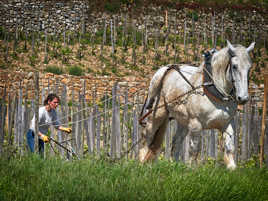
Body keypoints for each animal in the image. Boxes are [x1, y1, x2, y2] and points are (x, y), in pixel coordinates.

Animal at [139, 40, 254, 169]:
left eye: (249, 67)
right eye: (234, 66)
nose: (243, 98)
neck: (214, 90)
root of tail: (166, 69)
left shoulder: (227, 123)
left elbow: (230, 148)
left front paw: (232, 168)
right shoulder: (196, 125)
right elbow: (194, 150)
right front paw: (192, 169)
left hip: (183, 120)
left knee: (176, 141)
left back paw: (175, 165)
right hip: (158, 113)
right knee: (147, 134)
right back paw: (141, 161)